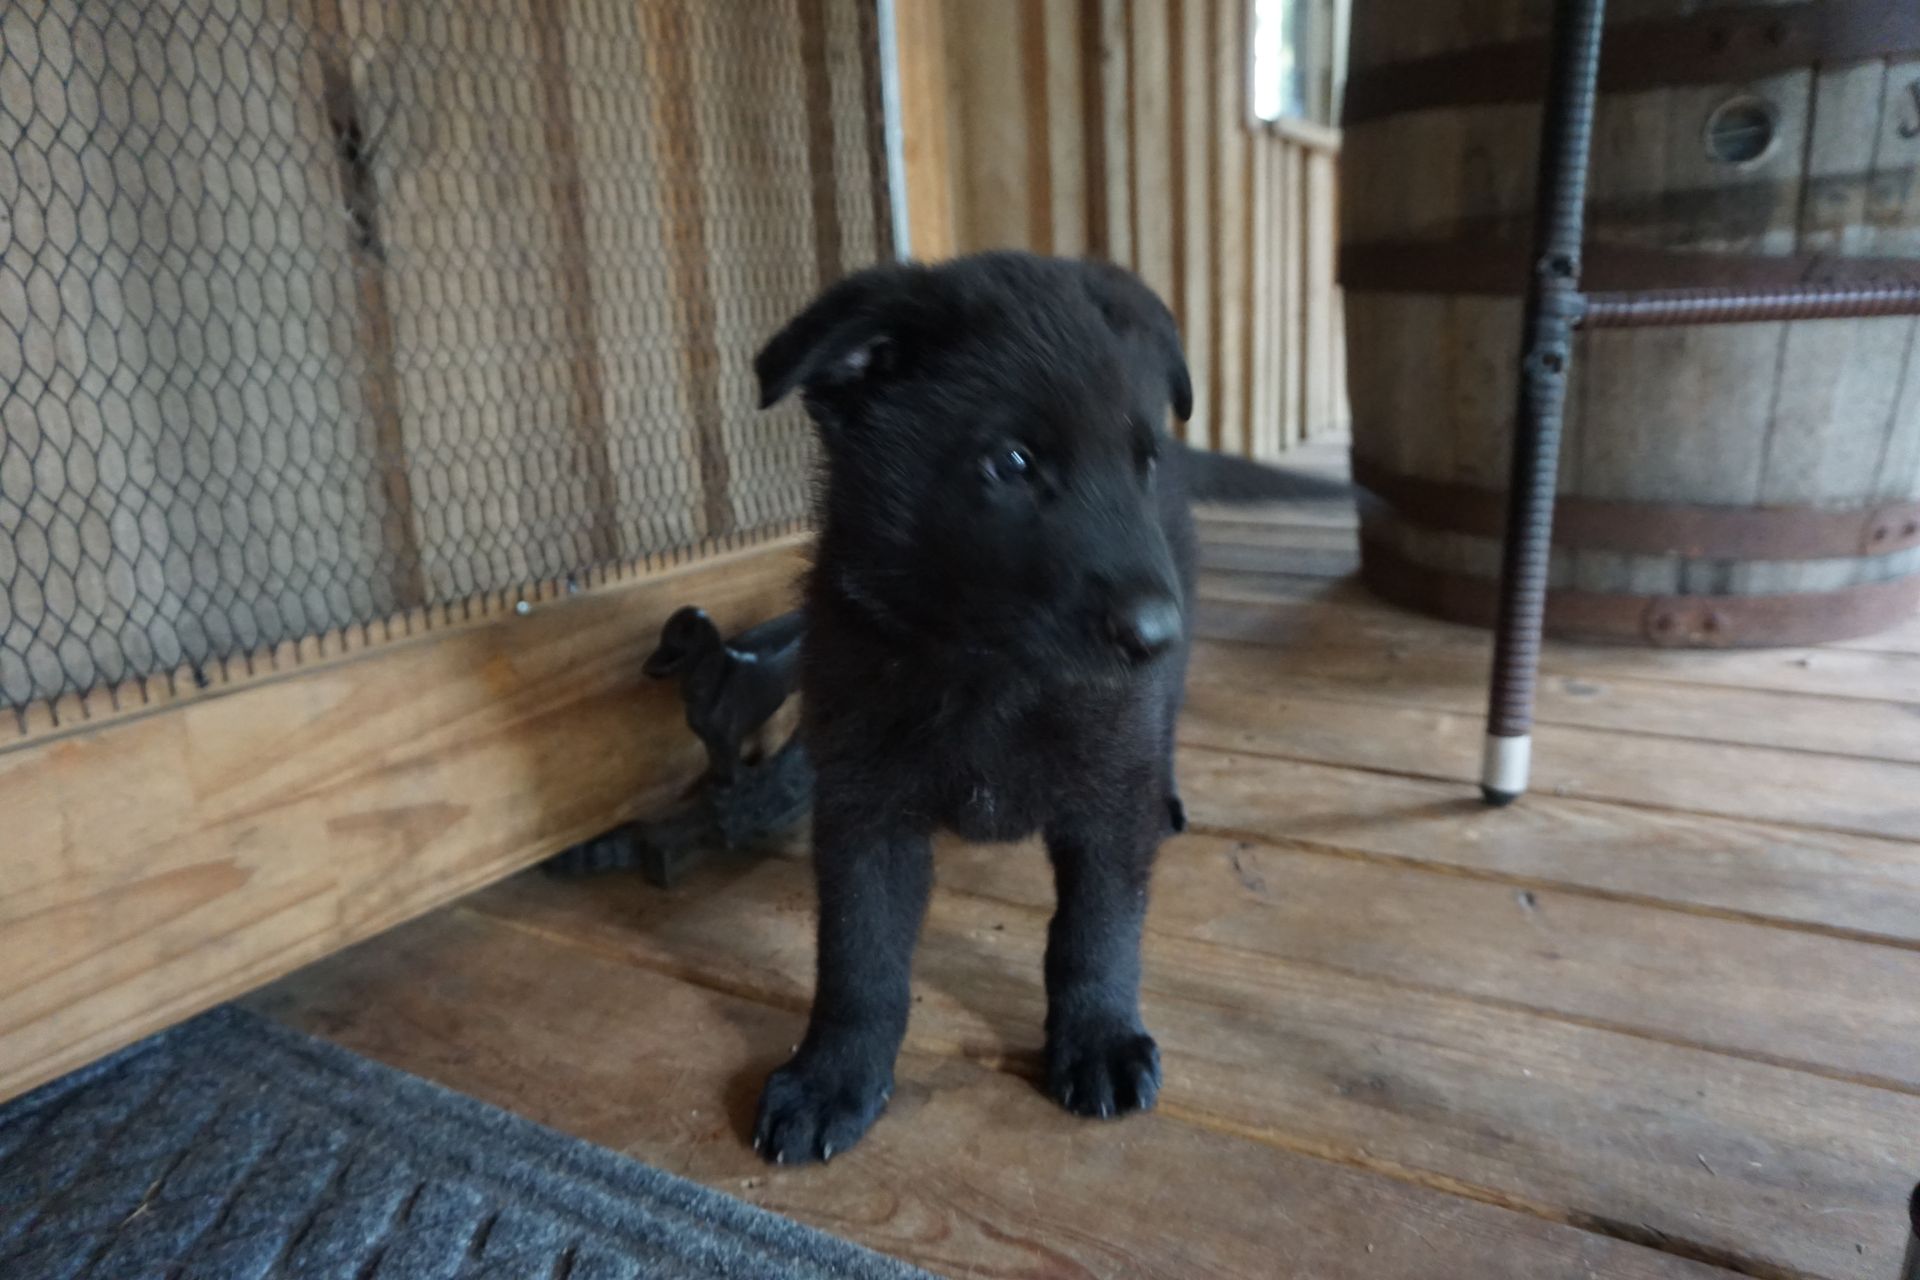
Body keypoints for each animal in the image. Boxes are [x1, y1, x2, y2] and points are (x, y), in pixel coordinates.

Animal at [744, 253, 1336, 1174]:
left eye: (1141, 462)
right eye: (1014, 462)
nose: (1155, 634)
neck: (992, 673)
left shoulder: (1108, 794)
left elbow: (1094, 931)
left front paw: (1098, 1038)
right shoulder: (863, 807)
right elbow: (858, 955)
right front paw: (832, 1075)